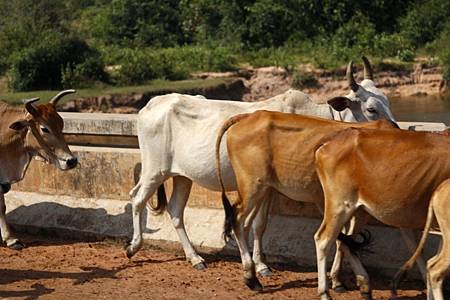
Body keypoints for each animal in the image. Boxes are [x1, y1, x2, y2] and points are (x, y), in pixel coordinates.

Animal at [216, 109, 400, 290]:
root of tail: (249, 116)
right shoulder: (356, 209)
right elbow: (342, 242)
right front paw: (337, 280)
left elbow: (343, 242)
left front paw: (337, 280)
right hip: (252, 186)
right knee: (237, 219)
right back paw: (251, 278)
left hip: (262, 189)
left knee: (247, 225)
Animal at [314, 127, 450, 298]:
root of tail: (334, 138)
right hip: (340, 205)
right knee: (323, 240)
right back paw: (324, 292)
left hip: (359, 210)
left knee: (346, 242)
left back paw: (364, 286)